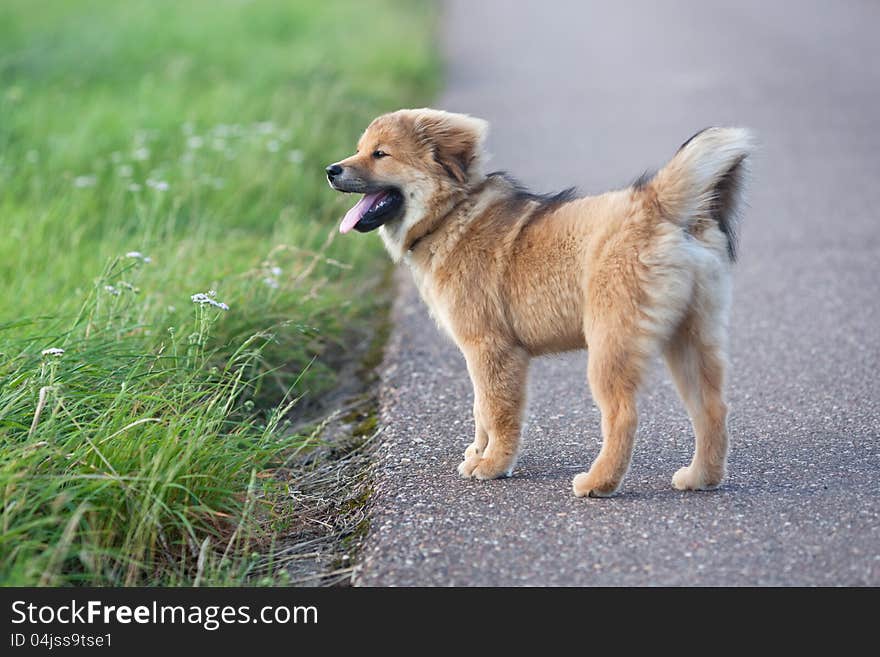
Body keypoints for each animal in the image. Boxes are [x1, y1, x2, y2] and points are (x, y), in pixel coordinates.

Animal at [326, 109, 752, 498]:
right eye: (360, 149)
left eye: (380, 154)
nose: (330, 169)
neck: (451, 214)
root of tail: (655, 202)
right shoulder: (480, 355)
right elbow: (480, 408)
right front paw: (478, 454)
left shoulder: (492, 349)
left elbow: (497, 411)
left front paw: (494, 464)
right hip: (691, 338)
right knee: (712, 408)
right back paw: (701, 477)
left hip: (611, 344)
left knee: (623, 415)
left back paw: (598, 482)